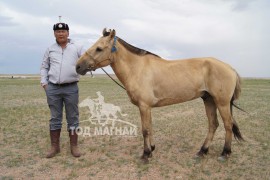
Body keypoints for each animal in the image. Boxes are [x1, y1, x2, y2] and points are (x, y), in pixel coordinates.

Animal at [75, 28, 244, 162]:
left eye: (98, 48)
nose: (78, 66)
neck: (137, 68)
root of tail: (230, 68)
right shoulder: (147, 107)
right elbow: (150, 127)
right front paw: (152, 149)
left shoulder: (144, 106)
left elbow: (145, 130)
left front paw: (145, 154)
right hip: (208, 99)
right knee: (213, 124)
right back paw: (202, 151)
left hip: (221, 102)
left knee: (228, 125)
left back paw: (225, 153)